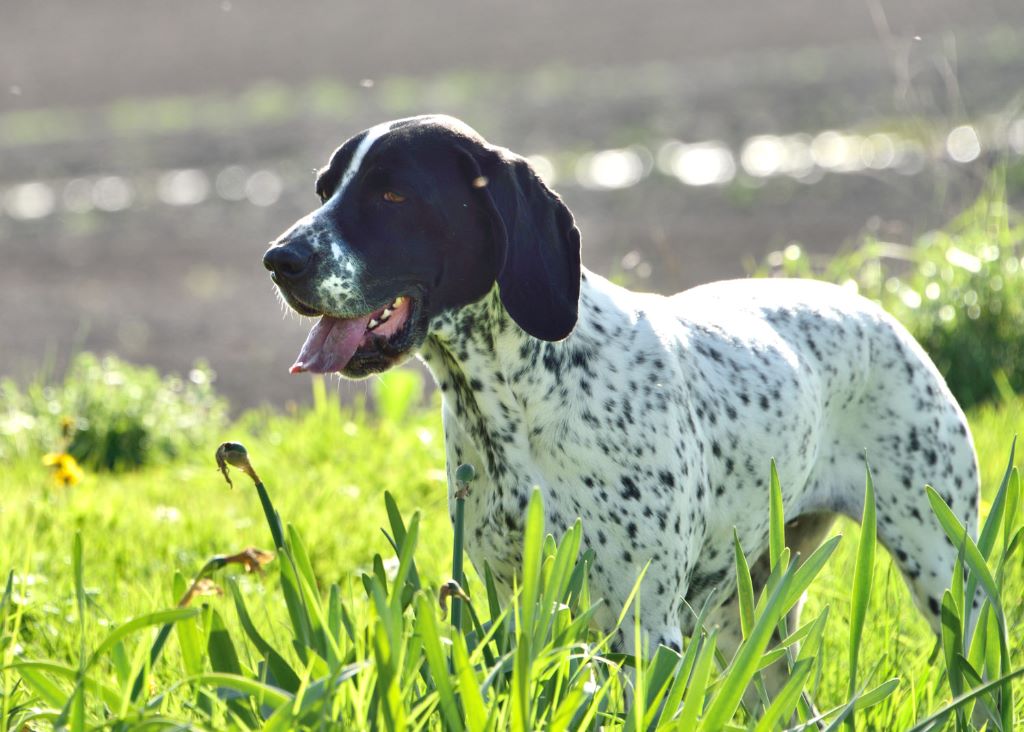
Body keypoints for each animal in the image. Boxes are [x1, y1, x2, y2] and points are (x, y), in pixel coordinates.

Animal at [266, 114, 983, 659]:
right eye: (325, 190)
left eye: (393, 196)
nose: (279, 260)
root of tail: (871, 305)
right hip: (750, 618)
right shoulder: (509, 605)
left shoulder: (643, 627)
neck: (517, 400)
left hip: (946, 574)